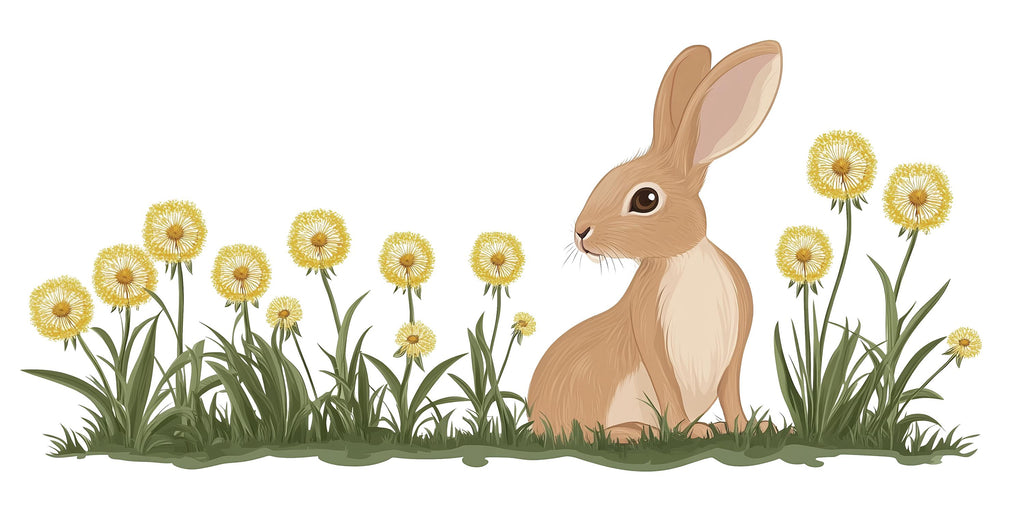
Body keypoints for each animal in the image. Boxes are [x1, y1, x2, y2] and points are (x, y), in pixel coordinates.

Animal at [528, 41, 782, 442]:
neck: (685, 258)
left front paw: (749, 427)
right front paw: (688, 433)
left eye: (645, 200)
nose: (581, 232)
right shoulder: (649, 334)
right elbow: (668, 390)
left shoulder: (736, 348)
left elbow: (732, 393)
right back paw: (633, 432)